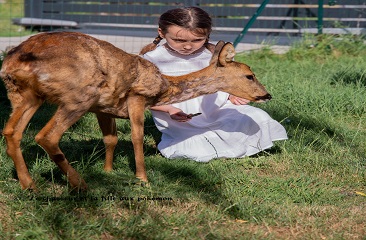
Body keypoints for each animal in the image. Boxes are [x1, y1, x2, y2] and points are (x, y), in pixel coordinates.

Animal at [0, 31, 268, 190]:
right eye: (249, 75)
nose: (267, 94)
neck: (164, 85)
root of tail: (15, 61)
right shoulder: (137, 96)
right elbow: (136, 137)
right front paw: (142, 178)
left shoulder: (103, 107)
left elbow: (111, 138)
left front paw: (108, 171)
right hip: (78, 96)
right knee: (46, 136)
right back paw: (81, 184)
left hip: (25, 95)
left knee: (11, 132)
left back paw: (28, 184)